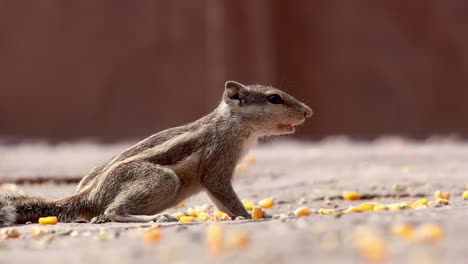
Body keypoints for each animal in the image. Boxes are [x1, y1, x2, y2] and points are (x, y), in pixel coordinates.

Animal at [0, 81, 314, 226]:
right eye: (274, 98)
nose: (308, 112)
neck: (233, 124)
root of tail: (87, 196)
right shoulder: (218, 162)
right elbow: (224, 194)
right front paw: (249, 216)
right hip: (162, 179)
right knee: (112, 211)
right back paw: (152, 219)